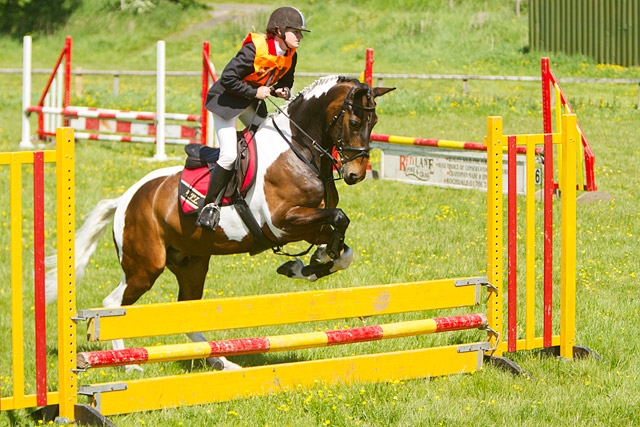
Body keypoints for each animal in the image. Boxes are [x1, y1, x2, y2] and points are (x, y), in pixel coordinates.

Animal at [46, 76, 396, 372]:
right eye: (354, 121)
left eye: (375, 123)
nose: (355, 174)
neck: (300, 151)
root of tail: (125, 199)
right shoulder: (283, 222)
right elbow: (340, 219)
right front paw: (311, 263)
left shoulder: (311, 223)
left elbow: (342, 246)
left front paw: (310, 263)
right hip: (145, 266)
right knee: (113, 304)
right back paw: (128, 364)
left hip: (191, 262)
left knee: (185, 309)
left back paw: (221, 360)